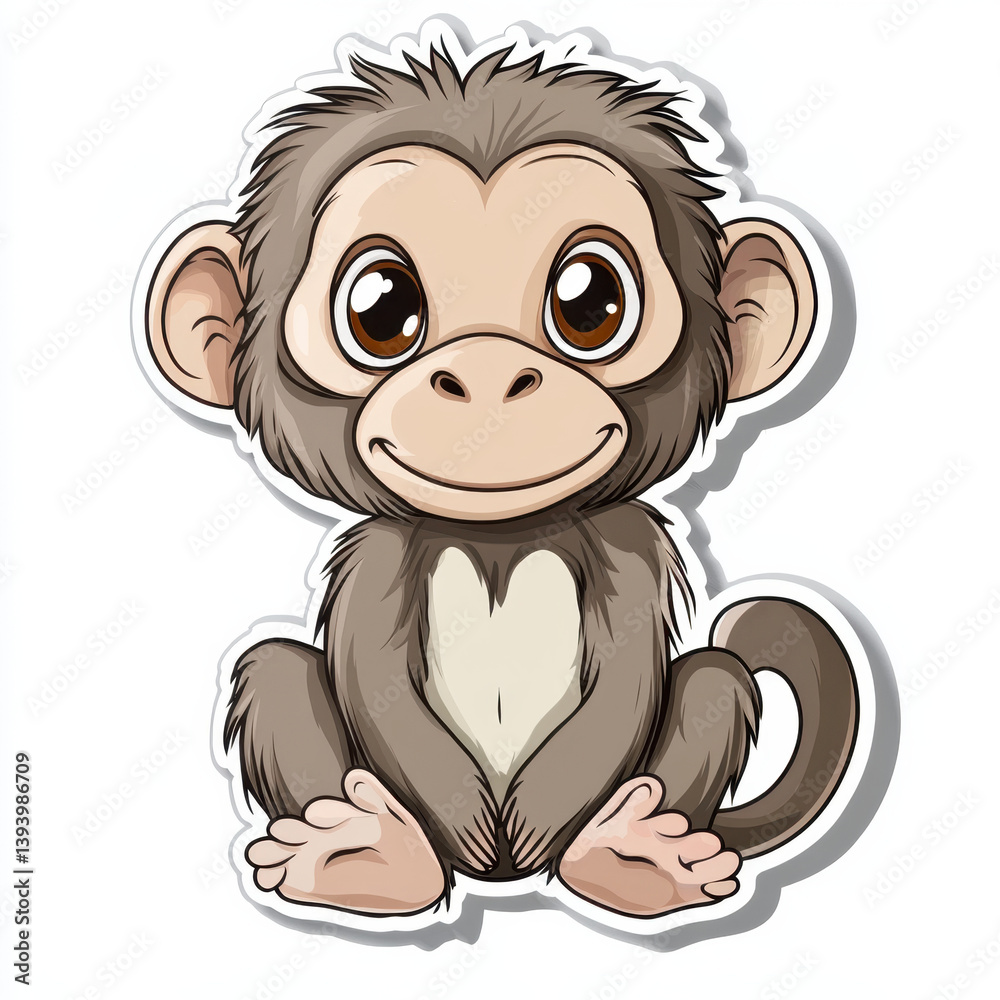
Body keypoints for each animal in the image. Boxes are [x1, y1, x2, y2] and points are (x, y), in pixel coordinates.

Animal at [139, 29, 861, 921]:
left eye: (591, 301)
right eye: (380, 311)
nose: (487, 376)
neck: (501, 541)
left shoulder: (625, 541)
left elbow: (628, 682)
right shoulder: (381, 553)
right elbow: (372, 680)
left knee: (716, 678)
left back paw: (627, 857)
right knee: (274, 667)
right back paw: (371, 857)